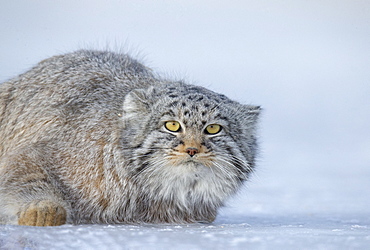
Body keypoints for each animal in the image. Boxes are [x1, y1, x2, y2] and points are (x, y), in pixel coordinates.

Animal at [0, 49, 260, 226]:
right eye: (172, 126)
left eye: (213, 129)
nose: (192, 150)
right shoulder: (37, 154)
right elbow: (25, 175)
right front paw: (42, 209)